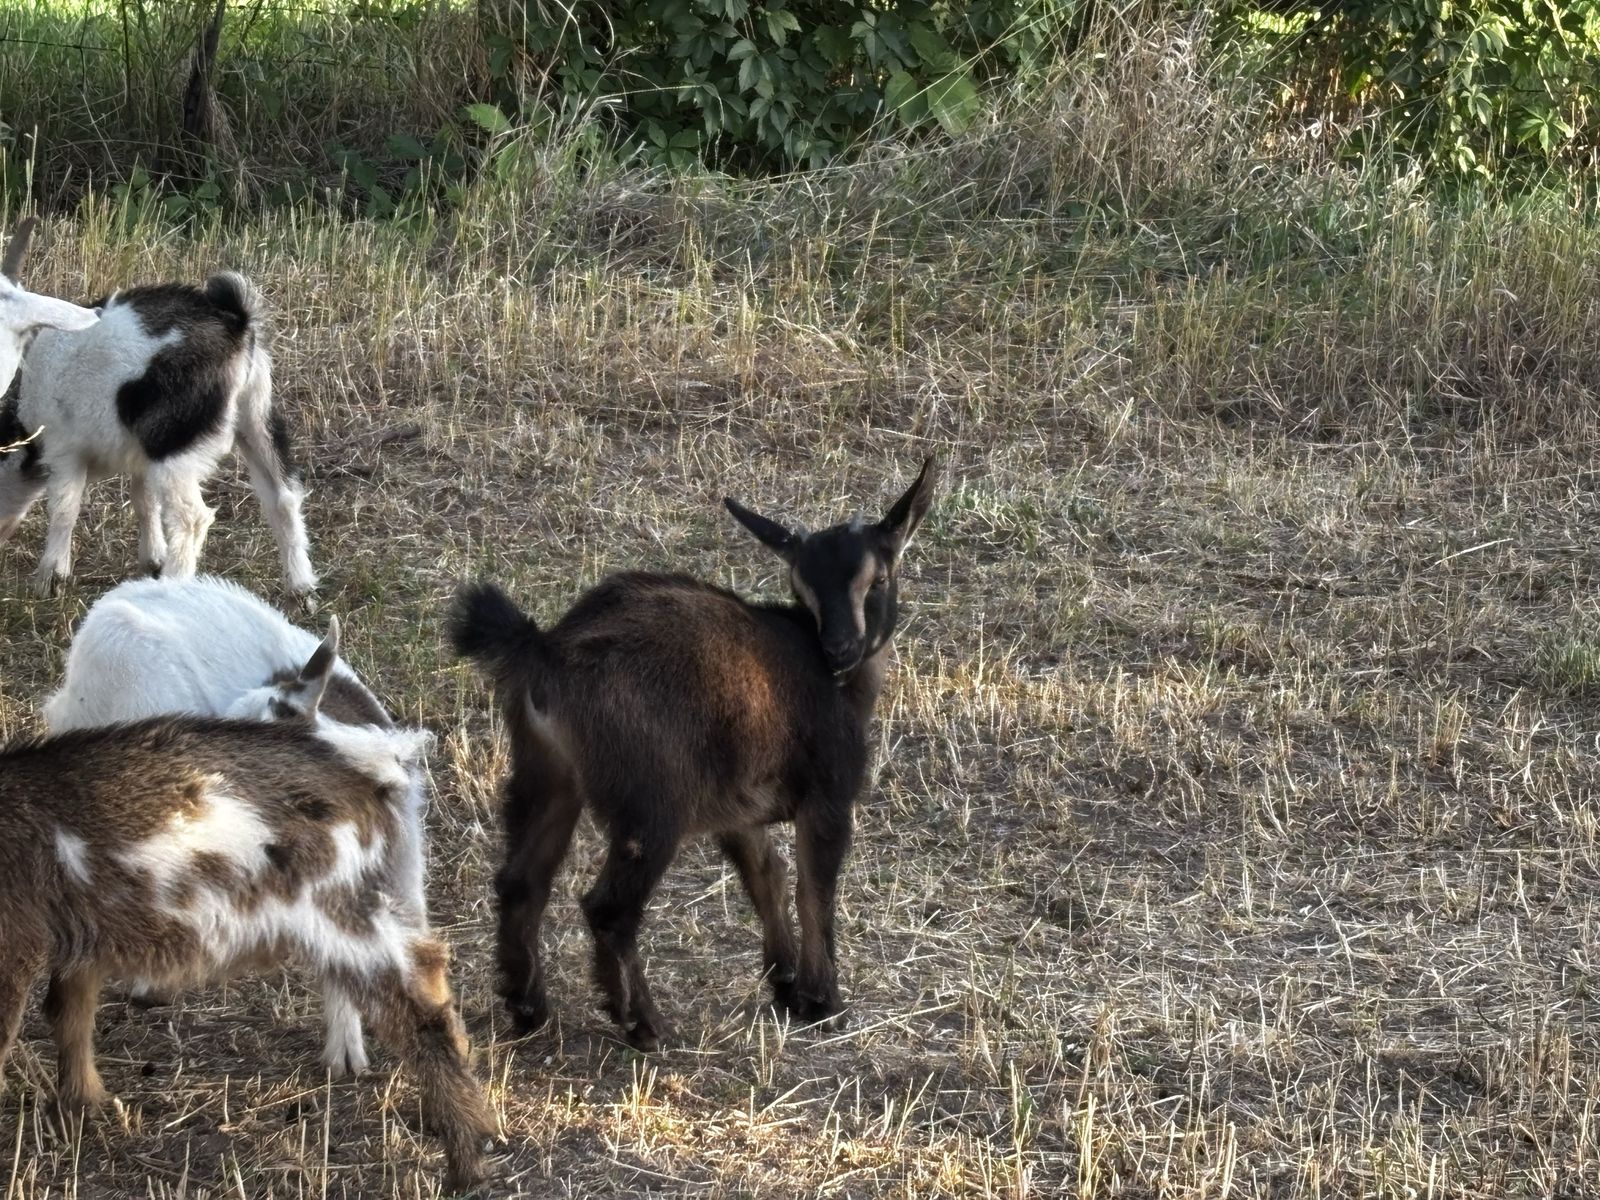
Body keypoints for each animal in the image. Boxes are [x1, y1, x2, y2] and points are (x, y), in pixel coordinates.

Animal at [0, 244, 315, 599]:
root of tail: (237, 322)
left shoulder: (64, 449)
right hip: (256, 416)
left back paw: (172, 587)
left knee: (191, 518)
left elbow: (64, 508)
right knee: (283, 495)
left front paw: (50, 577)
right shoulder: (139, 457)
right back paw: (301, 588)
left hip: (173, 442)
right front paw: (152, 559)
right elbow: (144, 502)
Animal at [0, 714, 494, 1190]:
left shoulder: (15, 944)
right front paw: (81, 1106)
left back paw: (465, 1162)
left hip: (337, 912)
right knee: (428, 964)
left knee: (419, 1017)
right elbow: (70, 1009)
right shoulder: (77, 934)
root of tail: (370, 768)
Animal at [449, 458, 937, 1049]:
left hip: (546, 774)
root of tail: (546, 651)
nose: (839, 648)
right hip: (652, 807)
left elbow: (766, 874)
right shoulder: (828, 796)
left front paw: (785, 983)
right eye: (800, 585)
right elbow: (813, 888)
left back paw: (528, 1009)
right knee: (608, 909)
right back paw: (642, 1023)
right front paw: (823, 1002)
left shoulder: (739, 809)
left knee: (522, 882)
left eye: (878, 579)